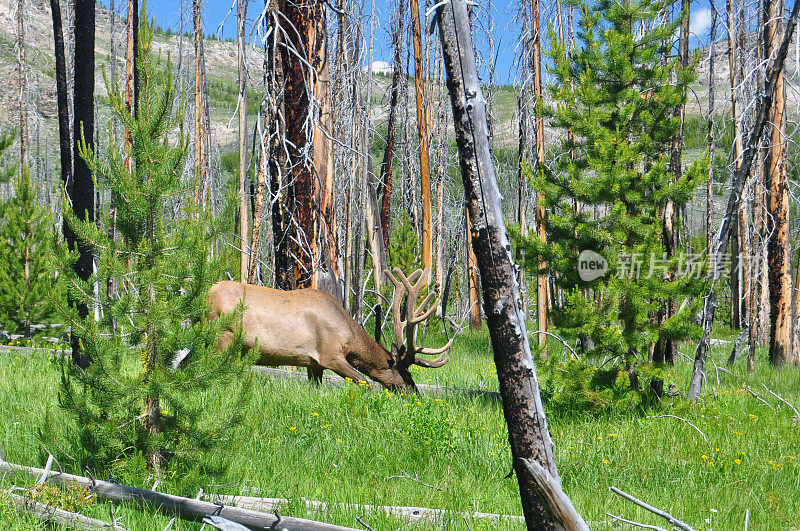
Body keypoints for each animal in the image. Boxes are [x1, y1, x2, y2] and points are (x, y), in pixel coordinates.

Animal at [209, 270, 454, 390]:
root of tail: (206, 295)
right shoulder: (330, 355)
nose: (414, 392)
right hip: (222, 338)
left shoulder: (313, 363)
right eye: (406, 372)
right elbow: (364, 382)